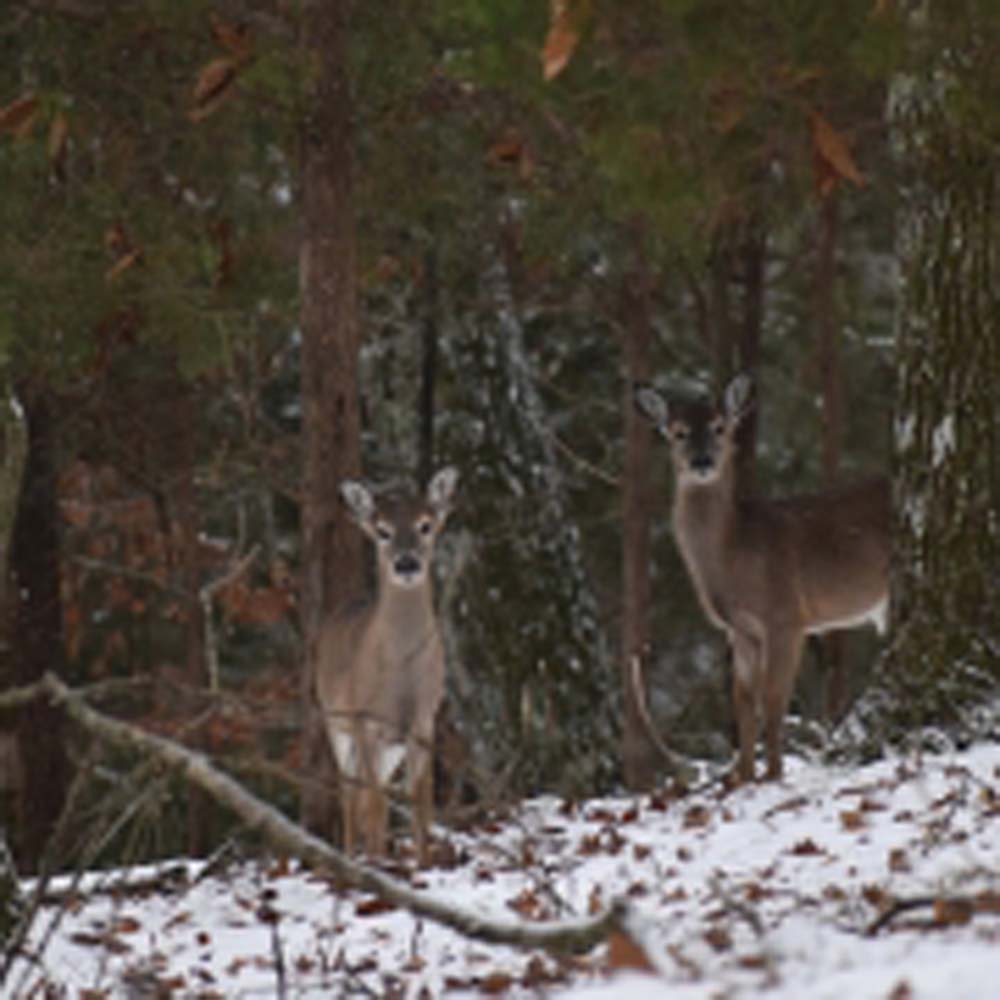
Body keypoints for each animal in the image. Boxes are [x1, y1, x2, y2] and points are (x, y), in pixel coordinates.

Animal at [314, 464, 458, 864]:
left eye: (426, 524)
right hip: (336, 722)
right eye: (382, 530)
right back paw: (352, 856)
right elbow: (375, 804)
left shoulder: (423, 720)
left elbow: (421, 802)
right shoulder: (365, 720)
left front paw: (423, 863)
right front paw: (377, 864)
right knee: (351, 795)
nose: (406, 562)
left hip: (389, 747)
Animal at [636, 374, 888, 780]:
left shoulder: (786, 615)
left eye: (719, 427)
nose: (702, 461)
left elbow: (773, 697)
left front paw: (773, 774)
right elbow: (743, 698)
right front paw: (743, 776)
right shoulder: (740, 629)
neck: (736, 554)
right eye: (678, 432)